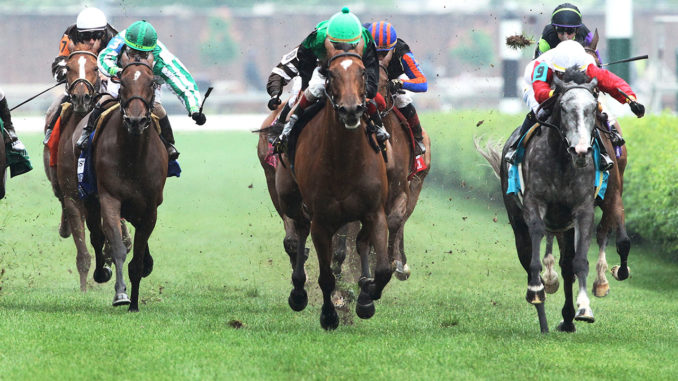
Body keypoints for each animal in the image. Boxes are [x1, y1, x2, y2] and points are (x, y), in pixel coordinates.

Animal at [82, 53, 167, 308]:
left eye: (151, 83)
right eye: (123, 82)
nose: (135, 121)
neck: (133, 155)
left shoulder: (150, 207)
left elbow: (137, 258)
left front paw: (135, 305)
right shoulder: (110, 198)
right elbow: (117, 247)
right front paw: (121, 294)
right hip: (91, 199)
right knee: (97, 236)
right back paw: (101, 271)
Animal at [274, 40, 394, 328]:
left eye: (362, 72)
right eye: (331, 74)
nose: (351, 110)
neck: (344, 160)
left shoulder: (375, 212)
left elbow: (383, 269)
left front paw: (368, 295)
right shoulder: (321, 220)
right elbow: (326, 276)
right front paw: (329, 315)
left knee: (361, 243)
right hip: (292, 201)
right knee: (299, 234)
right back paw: (298, 291)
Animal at [480, 68, 604, 332]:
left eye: (593, 108)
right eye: (564, 108)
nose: (581, 151)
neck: (562, 161)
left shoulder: (583, 209)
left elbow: (579, 261)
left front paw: (584, 308)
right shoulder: (534, 203)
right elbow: (535, 242)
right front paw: (537, 289)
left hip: (564, 228)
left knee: (566, 266)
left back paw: (567, 318)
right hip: (517, 223)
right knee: (527, 257)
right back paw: (542, 313)